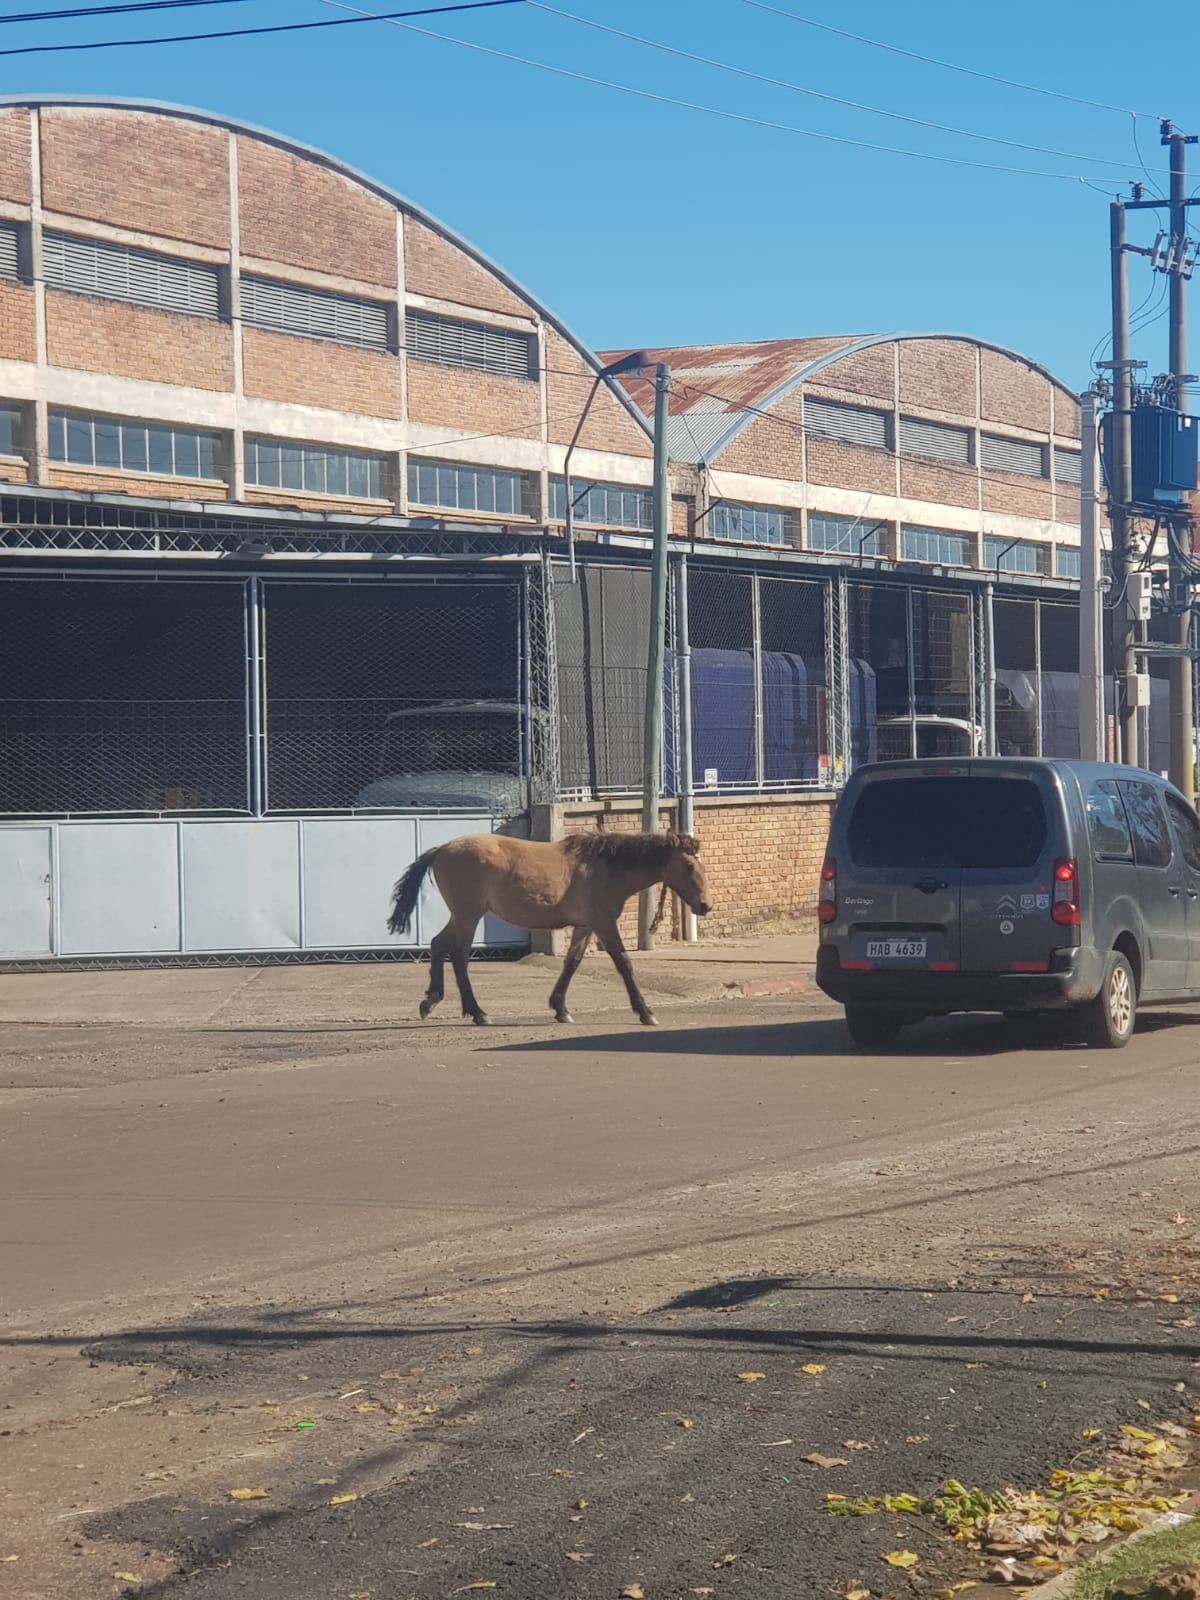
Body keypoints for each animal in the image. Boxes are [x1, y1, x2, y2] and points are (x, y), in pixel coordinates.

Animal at [387, 831, 710, 1027]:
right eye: (689, 865)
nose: (705, 906)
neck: (606, 865)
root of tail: (441, 849)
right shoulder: (604, 923)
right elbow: (623, 963)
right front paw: (645, 1012)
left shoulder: (585, 926)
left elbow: (572, 963)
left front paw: (560, 1009)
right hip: (468, 915)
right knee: (459, 956)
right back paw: (478, 1013)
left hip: (461, 915)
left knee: (438, 944)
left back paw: (431, 1000)